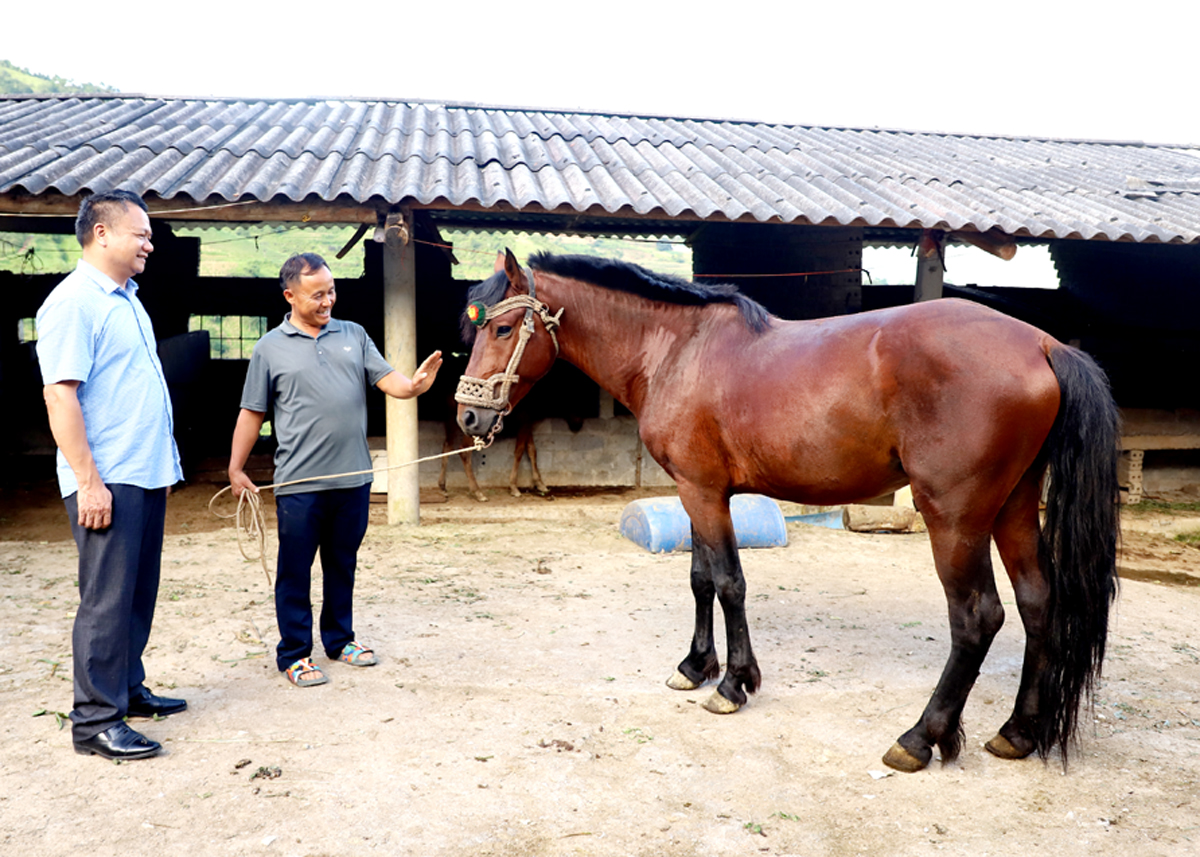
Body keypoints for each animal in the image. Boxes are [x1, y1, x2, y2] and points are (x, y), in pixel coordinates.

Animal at [453, 248, 1118, 772]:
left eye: (504, 331)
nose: (469, 416)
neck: (676, 350)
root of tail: (1042, 343)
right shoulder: (698, 493)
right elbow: (700, 579)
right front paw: (695, 665)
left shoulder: (701, 491)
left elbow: (728, 582)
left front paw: (731, 684)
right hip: (1012, 507)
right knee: (1038, 603)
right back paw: (1018, 733)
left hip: (954, 518)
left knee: (977, 618)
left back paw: (919, 739)